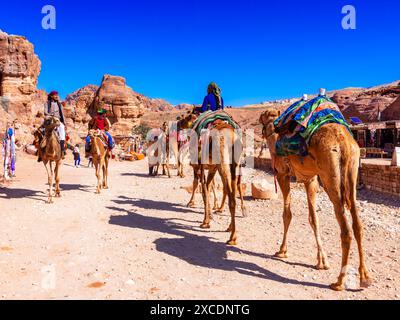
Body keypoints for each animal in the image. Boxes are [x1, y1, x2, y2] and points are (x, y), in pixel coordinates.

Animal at [260, 107, 372, 290]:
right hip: (352, 171)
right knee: (358, 224)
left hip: (330, 175)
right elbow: (314, 219)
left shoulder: (283, 174)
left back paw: (339, 281)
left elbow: (287, 214)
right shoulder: (310, 179)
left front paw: (282, 250)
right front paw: (322, 261)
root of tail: (343, 142)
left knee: (345, 229)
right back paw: (365, 277)